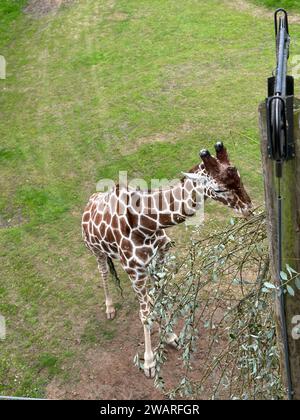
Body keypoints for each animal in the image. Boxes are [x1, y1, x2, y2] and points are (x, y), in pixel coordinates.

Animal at [81, 141, 251, 378]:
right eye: (218, 188)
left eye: (239, 175)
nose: (248, 208)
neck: (146, 225)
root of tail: (88, 204)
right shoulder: (135, 271)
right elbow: (144, 315)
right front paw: (149, 363)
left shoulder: (159, 259)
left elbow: (161, 300)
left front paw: (170, 337)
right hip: (96, 251)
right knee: (104, 272)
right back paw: (110, 309)